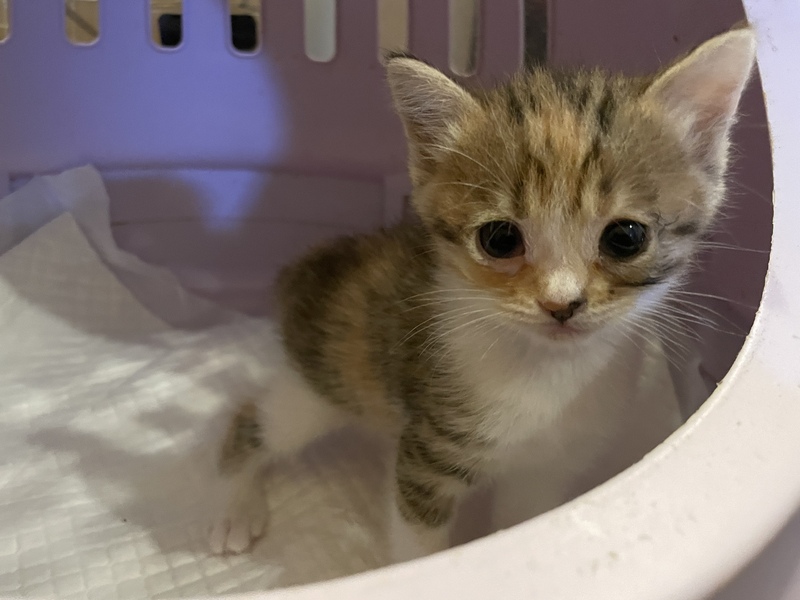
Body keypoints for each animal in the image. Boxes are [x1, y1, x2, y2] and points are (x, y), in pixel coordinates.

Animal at [208, 24, 756, 562]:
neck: (546, 372)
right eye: (500, 239)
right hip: (321, 387)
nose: (562, 304)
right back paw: (234, 507)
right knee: (255, 421)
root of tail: (310, 267)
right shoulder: (427, 452)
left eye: (626, 237)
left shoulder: (546, 470)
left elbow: (519, 523)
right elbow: (418, 546)